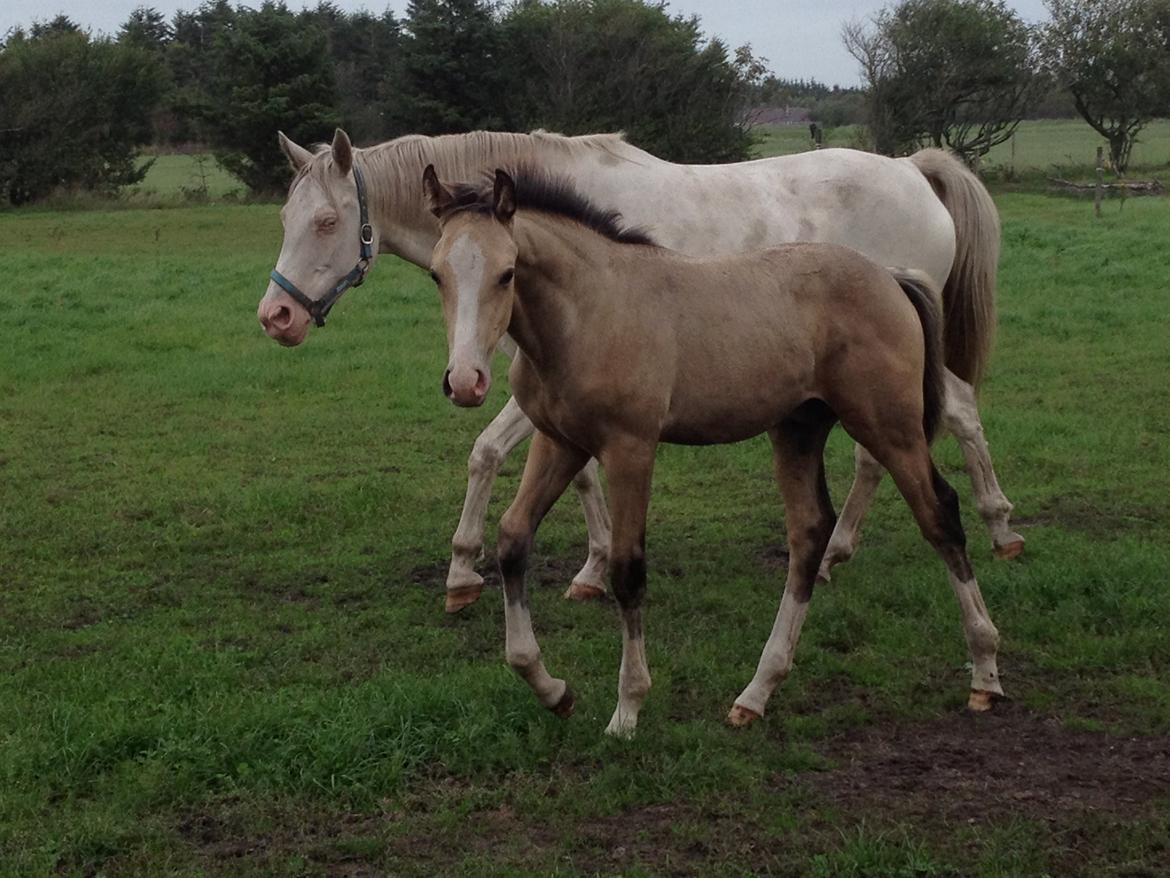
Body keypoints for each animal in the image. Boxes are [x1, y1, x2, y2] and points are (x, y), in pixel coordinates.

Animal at [258, 130, 1024, 613]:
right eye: (287, 217)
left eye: (327, 222)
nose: (276, 316)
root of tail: (911, 168)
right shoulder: (559, 394)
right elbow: (581, 475)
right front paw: (594, 567)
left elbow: (484, 454)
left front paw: (461, 570)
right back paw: (839, 551)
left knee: (956, 414)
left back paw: (998, 528)